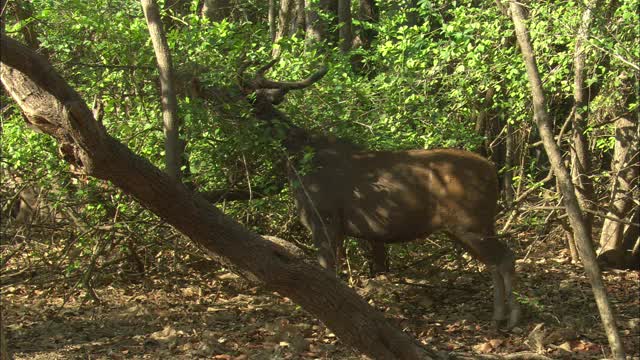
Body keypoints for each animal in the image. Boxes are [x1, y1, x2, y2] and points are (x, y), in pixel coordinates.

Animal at [210, 60, 520, 328]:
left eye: (243, 94)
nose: (217, 96)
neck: (298, 157)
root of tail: (492, 171)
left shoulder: (324, 217)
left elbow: (329, 270)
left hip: (470, 222)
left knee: (506, 257)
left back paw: (510, 318)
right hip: (466, 227)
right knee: (495, 261)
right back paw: (498, 316)